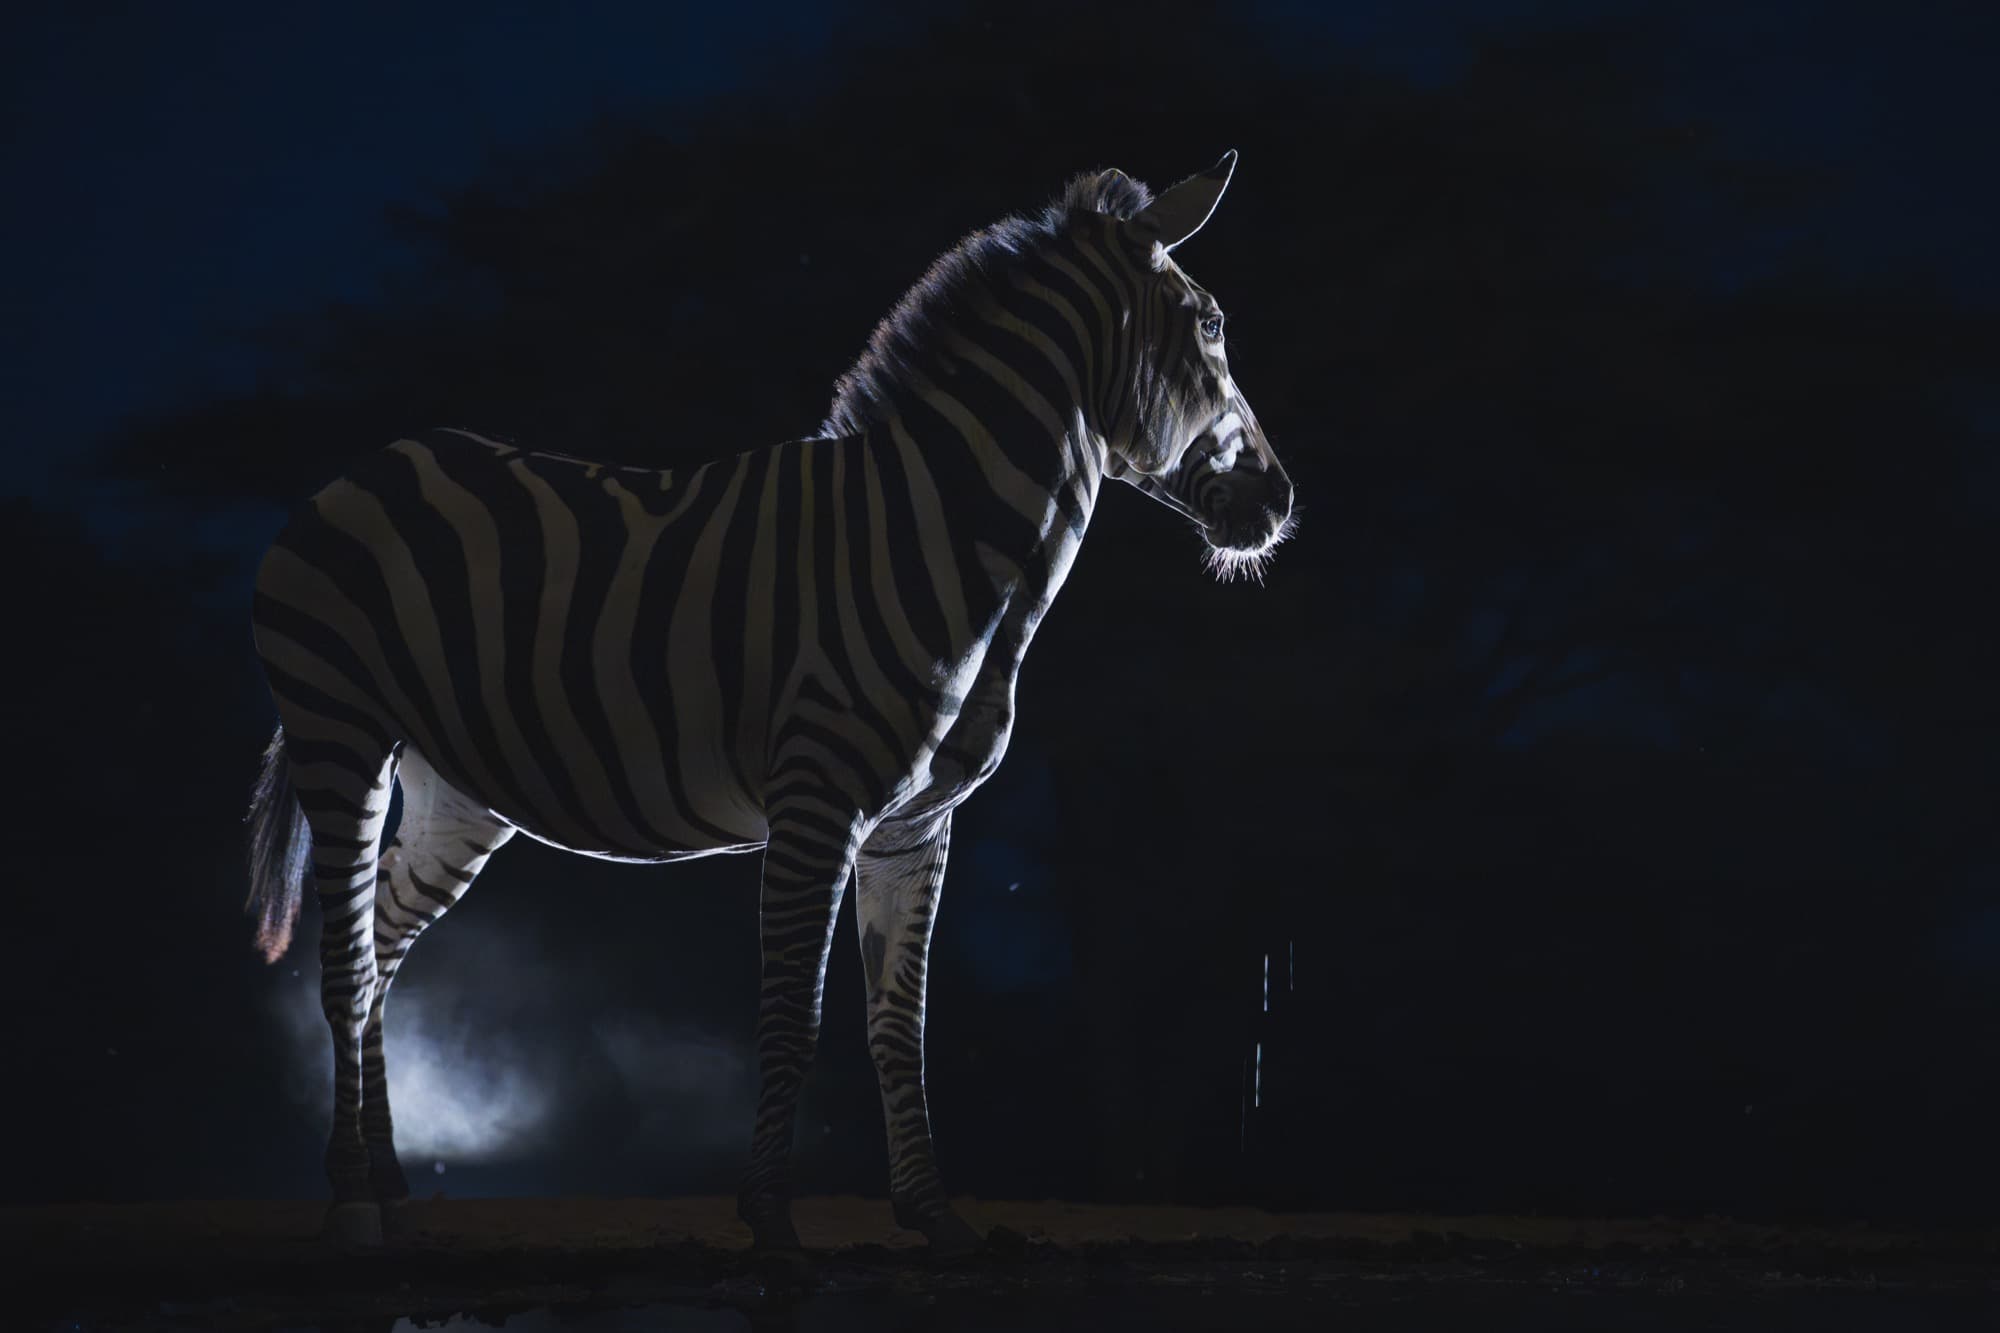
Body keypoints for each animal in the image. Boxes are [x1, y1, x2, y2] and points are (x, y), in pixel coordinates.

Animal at [244, 149, 1294, 1259]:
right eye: (1211, 324)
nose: (1281, 504)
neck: (937, 534)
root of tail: (361, 468)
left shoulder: (918, 828)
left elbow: (899, 1025)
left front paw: (934, 1216)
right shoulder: (817, 802)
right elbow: (797, 1010)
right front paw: (771, 1218)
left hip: (457, 793)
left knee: (380, 950)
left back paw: (394, 1188)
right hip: (340, 731)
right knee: (344, 963)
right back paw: (352, 1201)